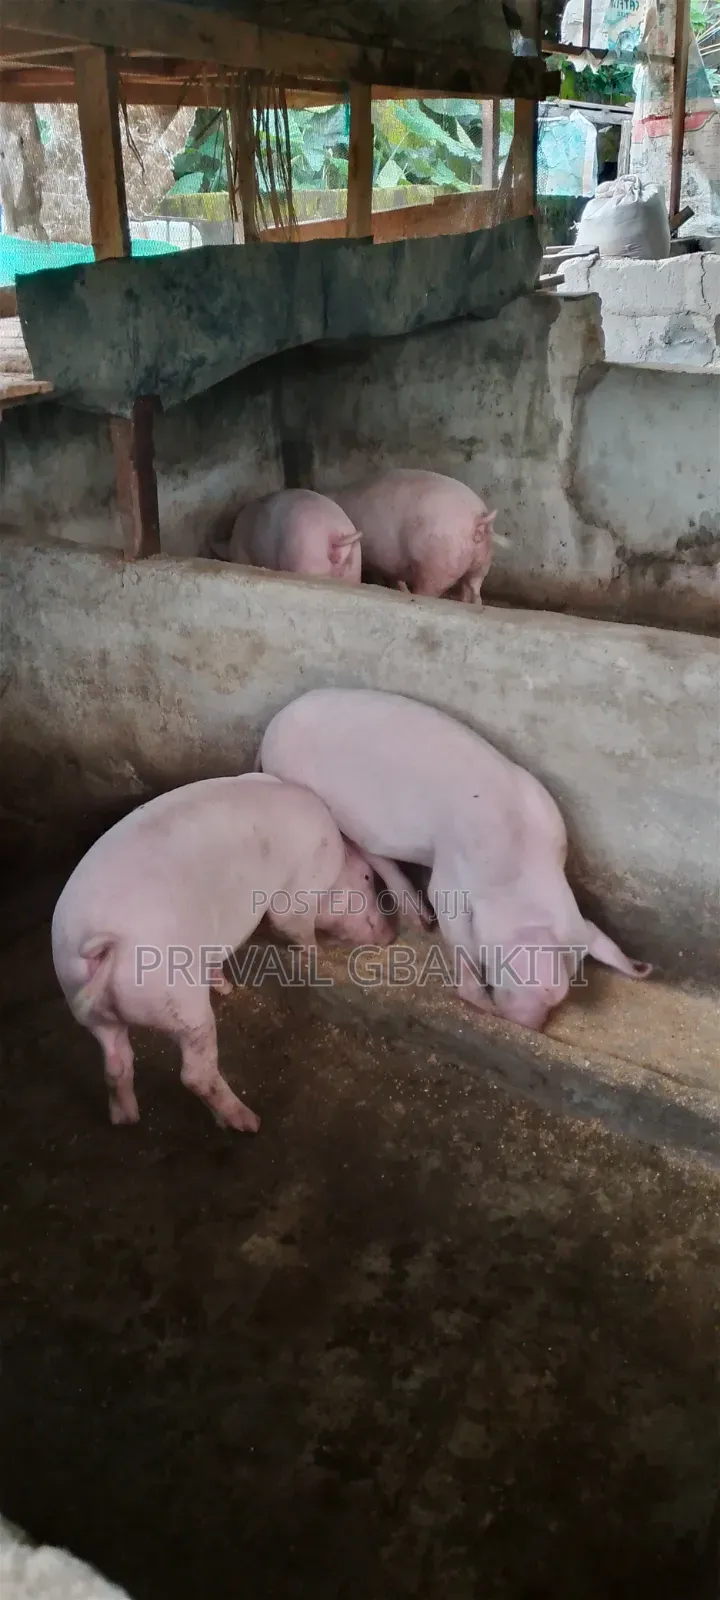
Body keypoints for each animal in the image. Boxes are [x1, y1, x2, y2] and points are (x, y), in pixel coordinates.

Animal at [51, 774, 394, 1134]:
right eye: (368, 877)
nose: (392, 934)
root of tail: (103, 942)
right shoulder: (302, 885)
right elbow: (291, 922)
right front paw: (319, 956)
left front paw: (226, 986)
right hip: (178, 998)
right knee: (194, 1073)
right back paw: (248, 1121)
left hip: (88, 1006)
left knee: (115, 1062)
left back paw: (126, 1120)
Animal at [259, 690, 652, 1033]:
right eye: (514, 975)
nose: (529, 1027)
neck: (518, 861)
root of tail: (273, 725)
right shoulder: (450, 876)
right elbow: (457, 931)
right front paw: (480, 1004)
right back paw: (419, 919)